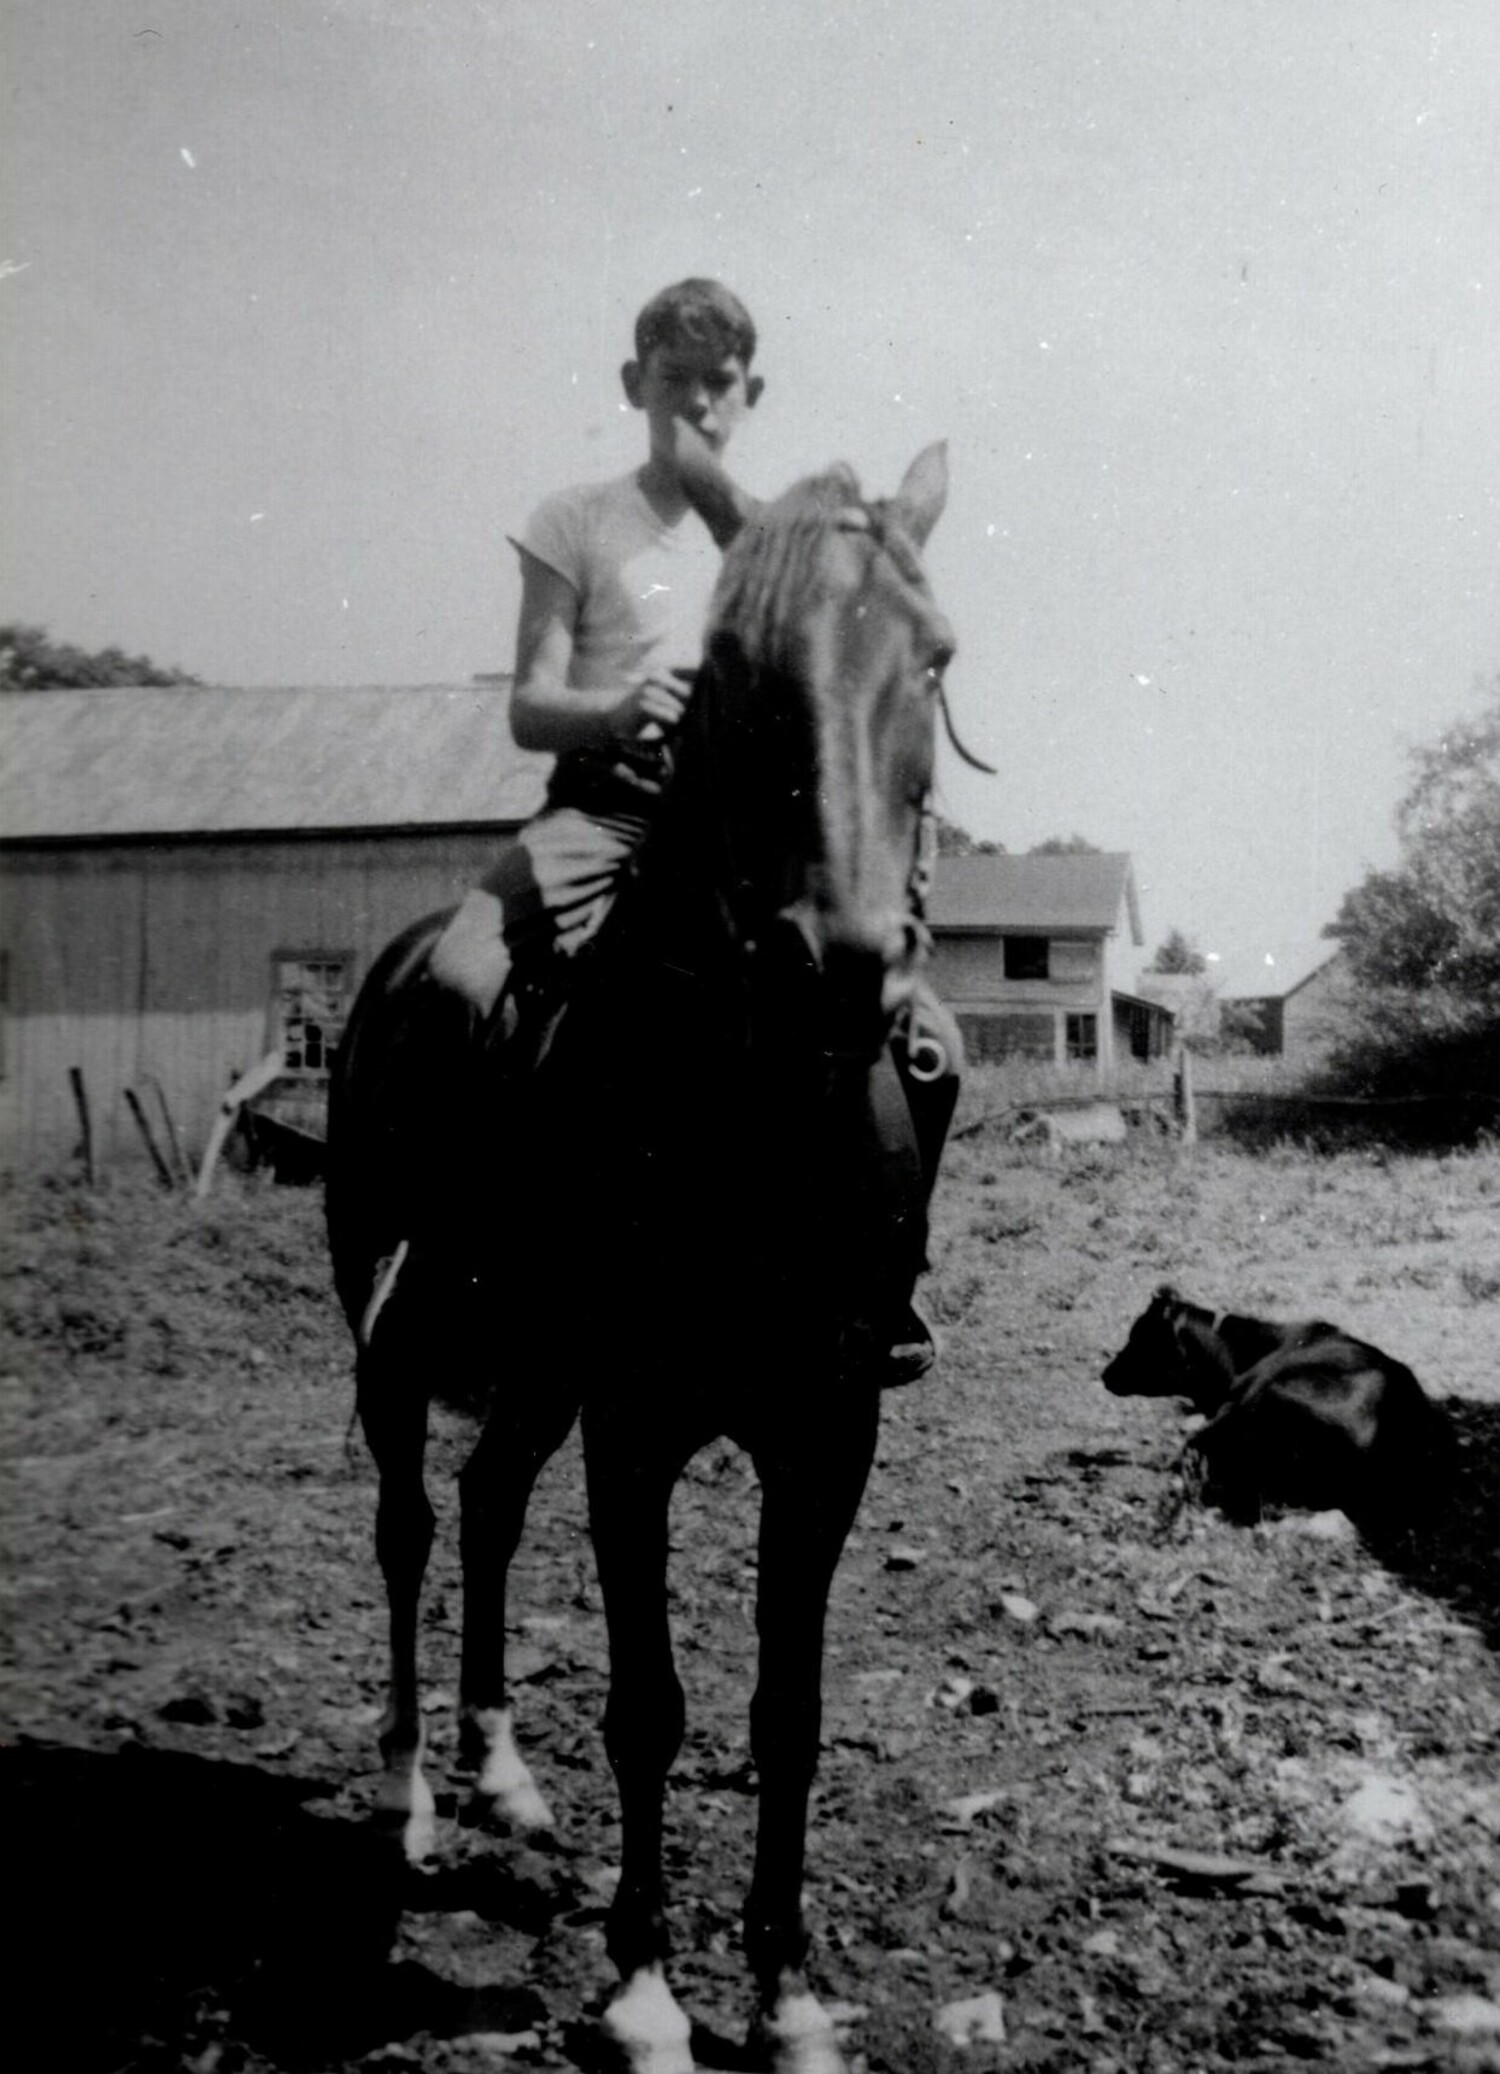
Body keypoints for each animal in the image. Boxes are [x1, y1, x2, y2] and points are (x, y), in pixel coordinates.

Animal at [323, 429, 966, 2065]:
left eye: (932, 656)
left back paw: (500, 1775)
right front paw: (643, 1990)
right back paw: (410, 1798)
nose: (841, 964)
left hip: (535, 1368)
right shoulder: (635, 1422)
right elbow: (649, 1704)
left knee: (487, 1503)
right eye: (732, 669)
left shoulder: (829, 1423)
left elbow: (786, 1711)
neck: (753, 1110)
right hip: (398, 1340)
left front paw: (789, 1995)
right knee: (410, 1526)